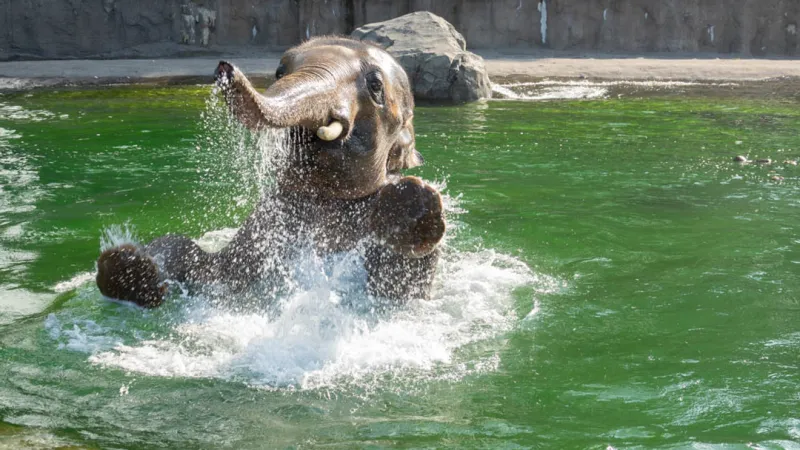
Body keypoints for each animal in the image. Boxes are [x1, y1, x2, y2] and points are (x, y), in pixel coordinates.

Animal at [95, 36, 446, 308]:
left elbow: (395, 288)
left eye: (375, 86)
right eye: (280, 70)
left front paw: (414, 200)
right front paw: (128, 269)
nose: (224, 68)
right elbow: (202, 264)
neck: (323, 196)